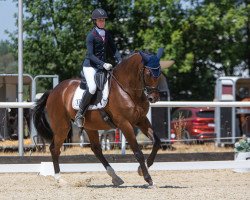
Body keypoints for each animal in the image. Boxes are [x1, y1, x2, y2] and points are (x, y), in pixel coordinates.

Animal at [32, 49, 163, 187]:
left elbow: (156, 142)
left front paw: (142, 170)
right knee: (54, 149)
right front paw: (148, 179)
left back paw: (115, 177)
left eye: (159, 73)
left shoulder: (141, 120)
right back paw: (60, 179)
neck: (127, 90)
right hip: (62, 126)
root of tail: (53, 91)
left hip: (89, 126)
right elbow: (138, 152)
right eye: (148, 73)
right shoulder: (124, 123)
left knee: (96, 149)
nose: (153, 98)